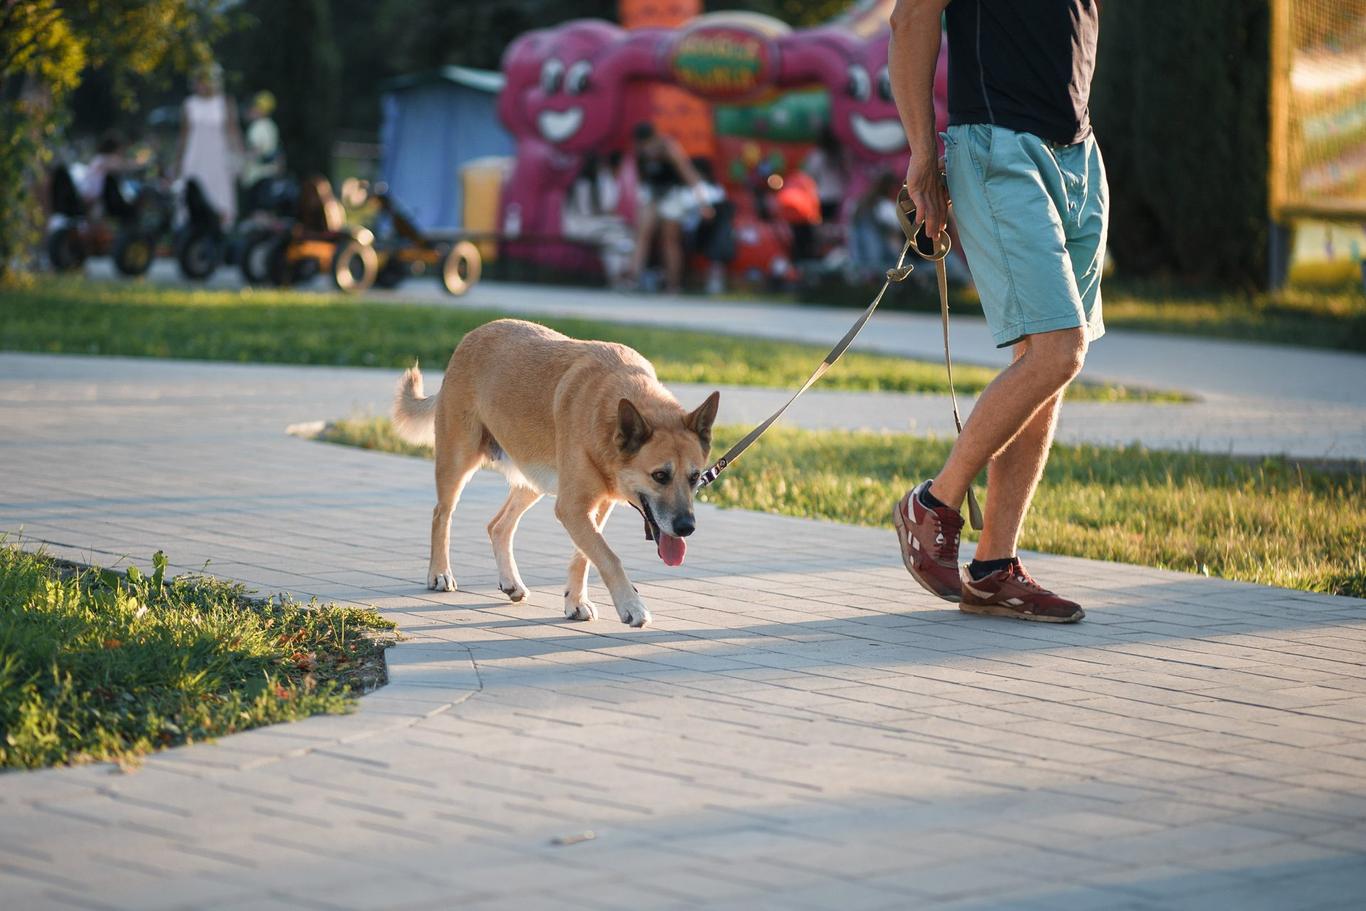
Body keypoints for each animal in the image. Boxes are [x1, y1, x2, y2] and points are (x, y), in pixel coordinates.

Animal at [390, 319, 721, 628]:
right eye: (660, 476)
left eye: (695, 477)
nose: (686, 527)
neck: (608, 416)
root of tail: (474, 334)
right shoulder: (572, 507)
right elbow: (608, 556)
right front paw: (632, 605)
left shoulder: (595, 506)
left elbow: (586, 555)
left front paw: (575, 602)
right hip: (458, 460)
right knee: (441, 514)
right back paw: (439, 573)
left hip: (535, 479)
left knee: (498, 526)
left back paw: (511, 582)